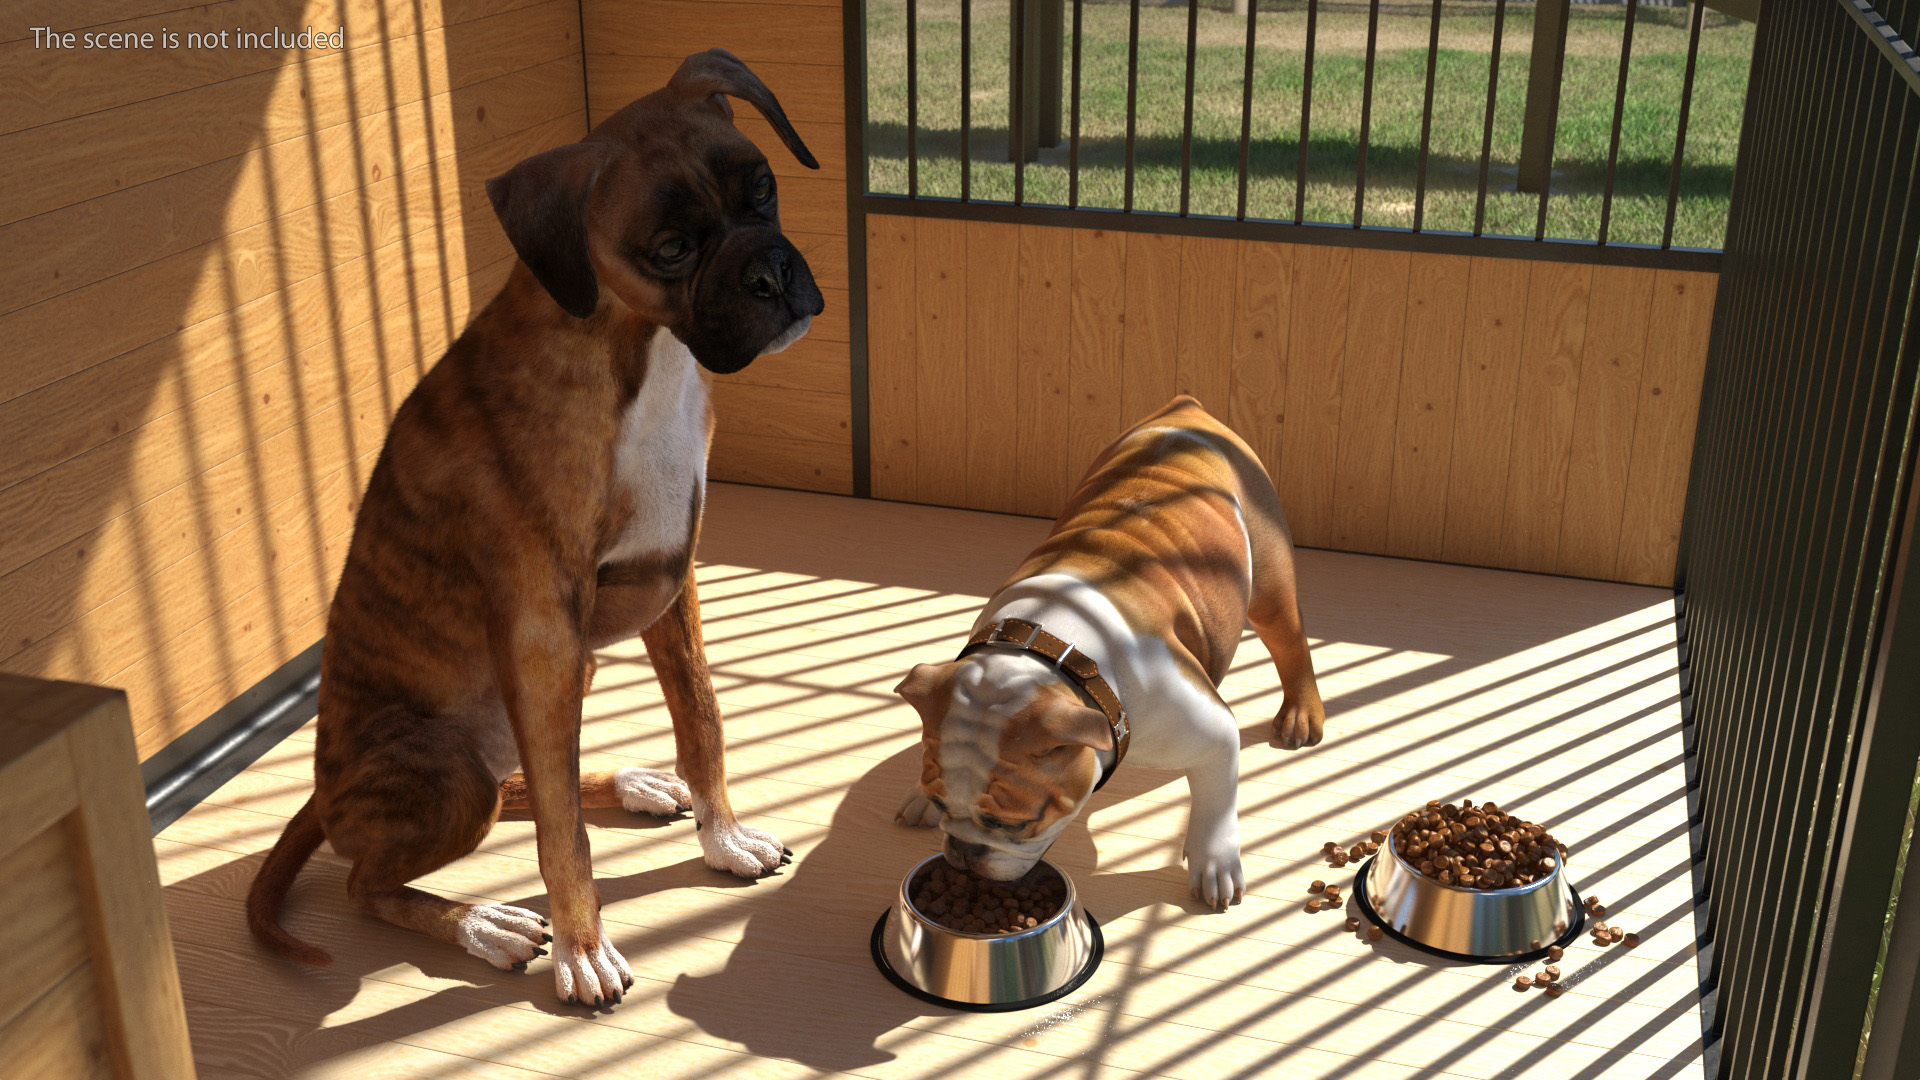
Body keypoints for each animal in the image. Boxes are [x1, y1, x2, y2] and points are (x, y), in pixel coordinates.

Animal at [243, 50, 821, 1006]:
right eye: (672, 249)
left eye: (765, 190)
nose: (771, 274)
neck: (637, 351)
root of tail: (322, 798)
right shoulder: (544, 633)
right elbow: (562, 832)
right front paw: (583, 948)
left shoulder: (672, 580)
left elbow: (702, 720)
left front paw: (722, 838)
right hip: (448, 767)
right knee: (372, 880)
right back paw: (485, 923)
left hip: (550, 693)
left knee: (519, 777)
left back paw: (628, 783)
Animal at [894, 395, 1320, 907]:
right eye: (942, 802)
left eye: (1015, 824)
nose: (962, 851)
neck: (1053, 647)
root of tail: (1189, 411)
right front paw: (918, 799)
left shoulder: (1213, 733)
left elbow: (1216, 799)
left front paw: (1215, 863)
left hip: (1269, 576)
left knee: (1289, 640)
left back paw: (1301, 715)